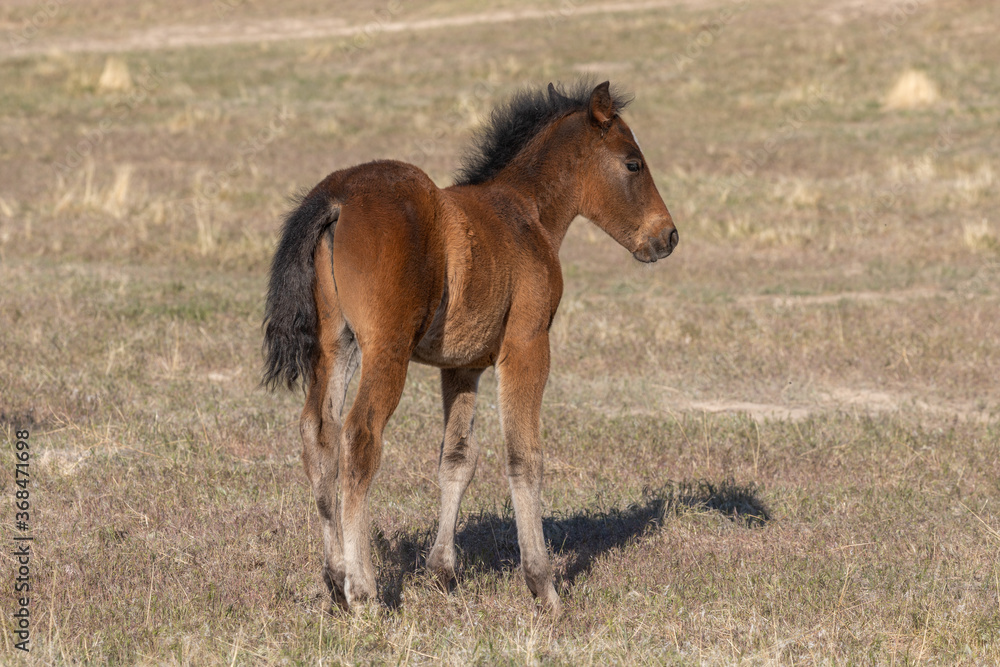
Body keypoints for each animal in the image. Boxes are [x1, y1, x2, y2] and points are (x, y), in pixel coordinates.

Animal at [263, 80, 678, 615]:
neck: (526, 214)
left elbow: (456, 458)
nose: (667, 236)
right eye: (632, 163)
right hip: (385, 349)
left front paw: (443, 571)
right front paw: (543, 585)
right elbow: (524, 456)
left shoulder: (461, 367)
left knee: (318, 432)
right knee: (360, 437)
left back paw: (335, 581)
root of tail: (337, 195)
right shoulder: (527, 344)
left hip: (336, 344)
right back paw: (364, 591)